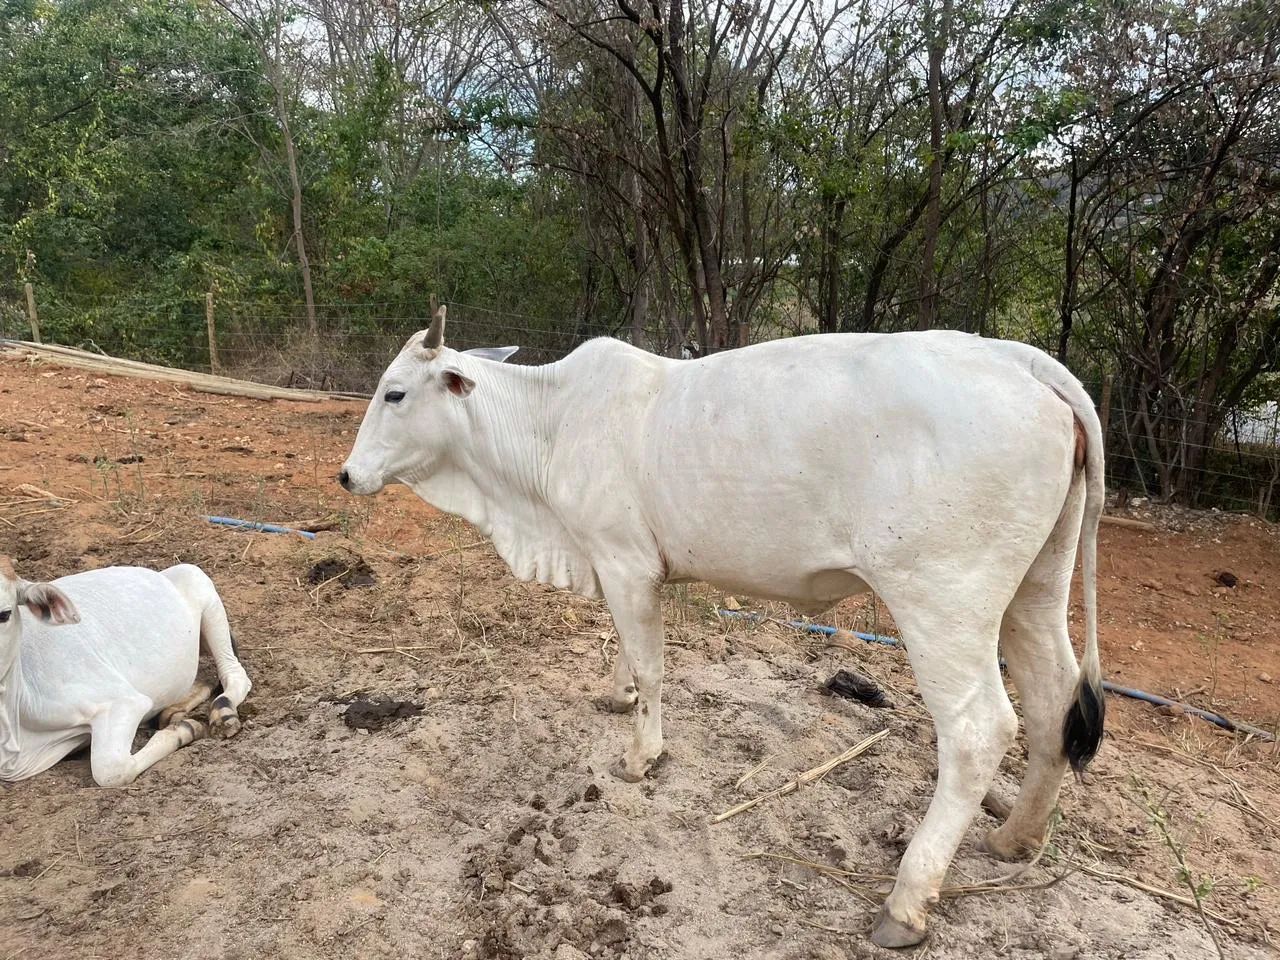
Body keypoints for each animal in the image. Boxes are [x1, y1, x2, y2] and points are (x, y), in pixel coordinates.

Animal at [0, 560, 251, 787]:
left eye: (4, 614)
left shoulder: (123, 702)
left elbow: (110, 771)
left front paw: (187, 729)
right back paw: (172, 712)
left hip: (200, 587)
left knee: (235, 674)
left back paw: (223, 715)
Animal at [338, 306, 1105, 948]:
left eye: (395, 394)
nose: (347, 476)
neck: (547, 424)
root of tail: (1022, 361)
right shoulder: (619, 567)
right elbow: (628, 650)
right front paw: (616, 693)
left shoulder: (624, 561)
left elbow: (651, 664)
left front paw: (641, 753)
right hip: (1035, 588)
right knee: (1054, 701)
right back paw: (1015, 839)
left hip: (942, 601)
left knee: (980, 730)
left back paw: (908, 899)